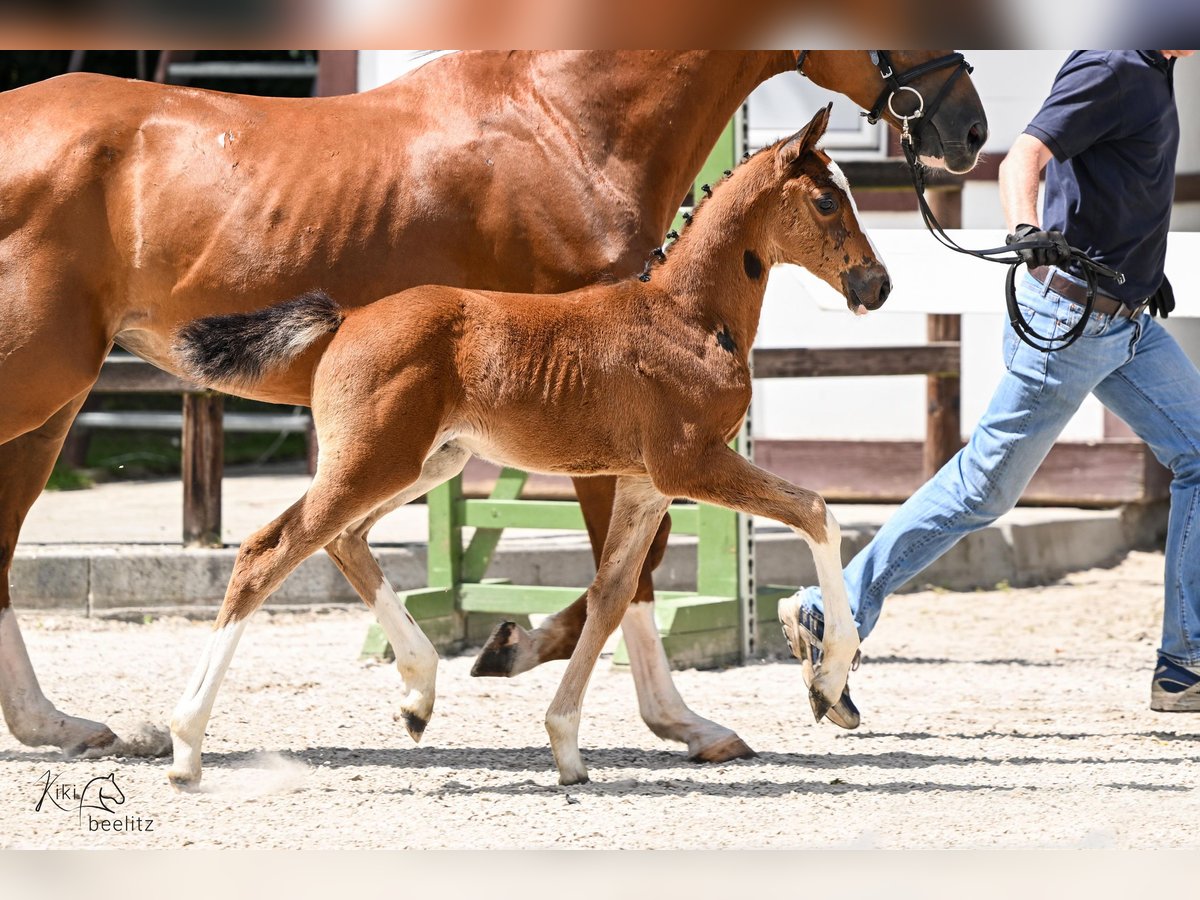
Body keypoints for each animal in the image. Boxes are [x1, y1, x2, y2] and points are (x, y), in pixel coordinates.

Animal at [169, 107, 892, 787]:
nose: (877, 284)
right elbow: (816, 511)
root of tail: (347, 319)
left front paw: (566, 744)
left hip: (429, 460)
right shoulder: (691, 462)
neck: (687, 316)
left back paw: (418, 694)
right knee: (269, 550)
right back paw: (185, 743)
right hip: (374, 461)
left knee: (342, 539)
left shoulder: (645, 483)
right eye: (827, 200)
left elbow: (611, 594)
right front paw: (829, 681)